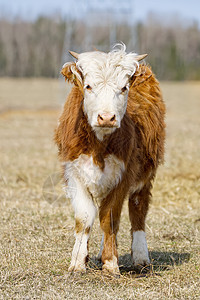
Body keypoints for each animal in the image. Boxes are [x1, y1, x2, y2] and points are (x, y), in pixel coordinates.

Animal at [54, 44, 166, 274]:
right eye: (88, 86)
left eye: (124, 88)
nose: (106, 118)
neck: (98, 145)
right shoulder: (73, 172)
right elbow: (85, 217)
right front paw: (78, 262)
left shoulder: (123, 175)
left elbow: (110, 217)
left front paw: (111, 262)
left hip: (145, 176)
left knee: (138, 209)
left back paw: (140, 257)